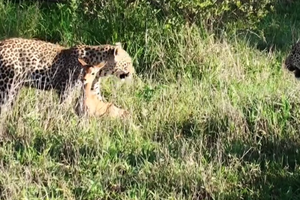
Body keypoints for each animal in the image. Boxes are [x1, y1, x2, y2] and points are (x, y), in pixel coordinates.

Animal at [0, 37, 135, 111]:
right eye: (128, 63)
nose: (133, 73)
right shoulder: (66, 90)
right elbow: (64, 106)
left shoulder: (94, 89)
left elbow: (102, 103)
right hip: (7, 84)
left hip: (15, 86)